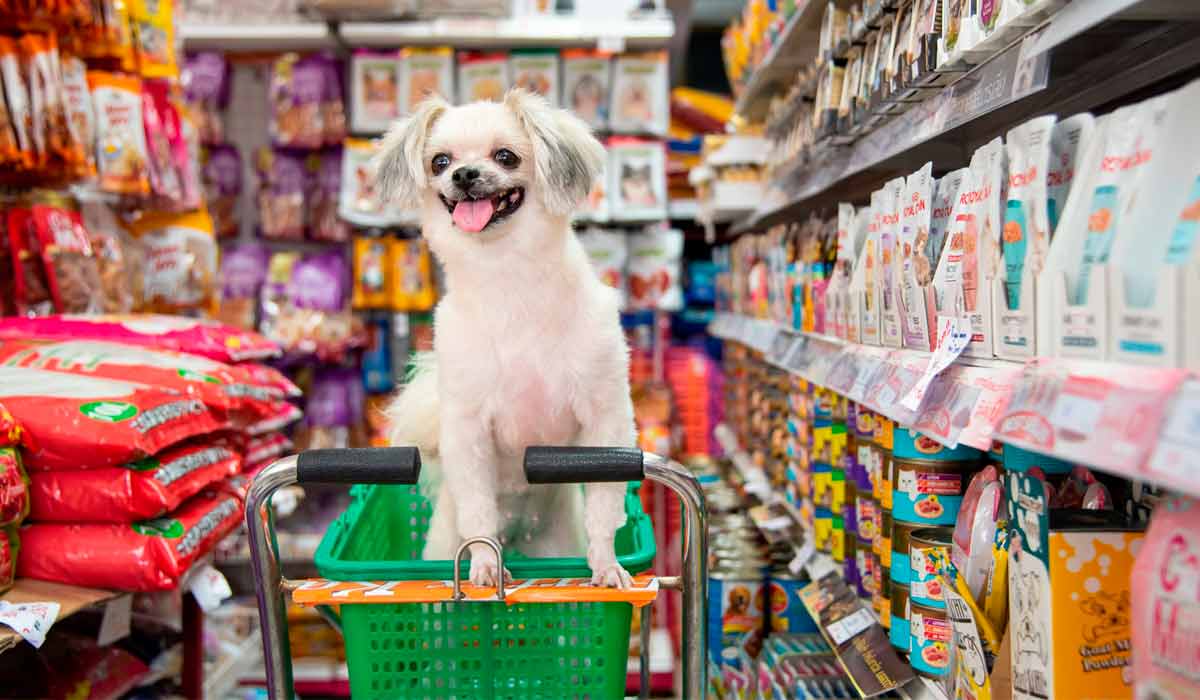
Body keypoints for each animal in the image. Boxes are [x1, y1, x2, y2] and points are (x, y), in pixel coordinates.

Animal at [374, 88, 638, 590]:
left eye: (505, 156)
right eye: (439, 161)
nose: (464, 174)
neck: (508, 280)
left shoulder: (606, 420)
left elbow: (604, 504)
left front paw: (606, 563)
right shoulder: (468, 430)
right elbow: (479, 507)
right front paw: (484, 565)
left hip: (556, 541)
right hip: (443, 542)